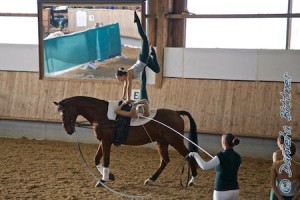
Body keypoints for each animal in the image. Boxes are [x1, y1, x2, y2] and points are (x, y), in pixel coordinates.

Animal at [54, 95, 199, 186]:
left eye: (63, 113)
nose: (68, 130)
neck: (101, 114)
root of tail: (177, 113)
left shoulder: (106, 141)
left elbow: (106, 160)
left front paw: (103, 180)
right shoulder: (103, 140)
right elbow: (96, 159)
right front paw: (110, 176)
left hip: (175, 140)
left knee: (189, 155)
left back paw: (192, 180)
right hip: (162, 142)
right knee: (165, 160)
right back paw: (151, 180)